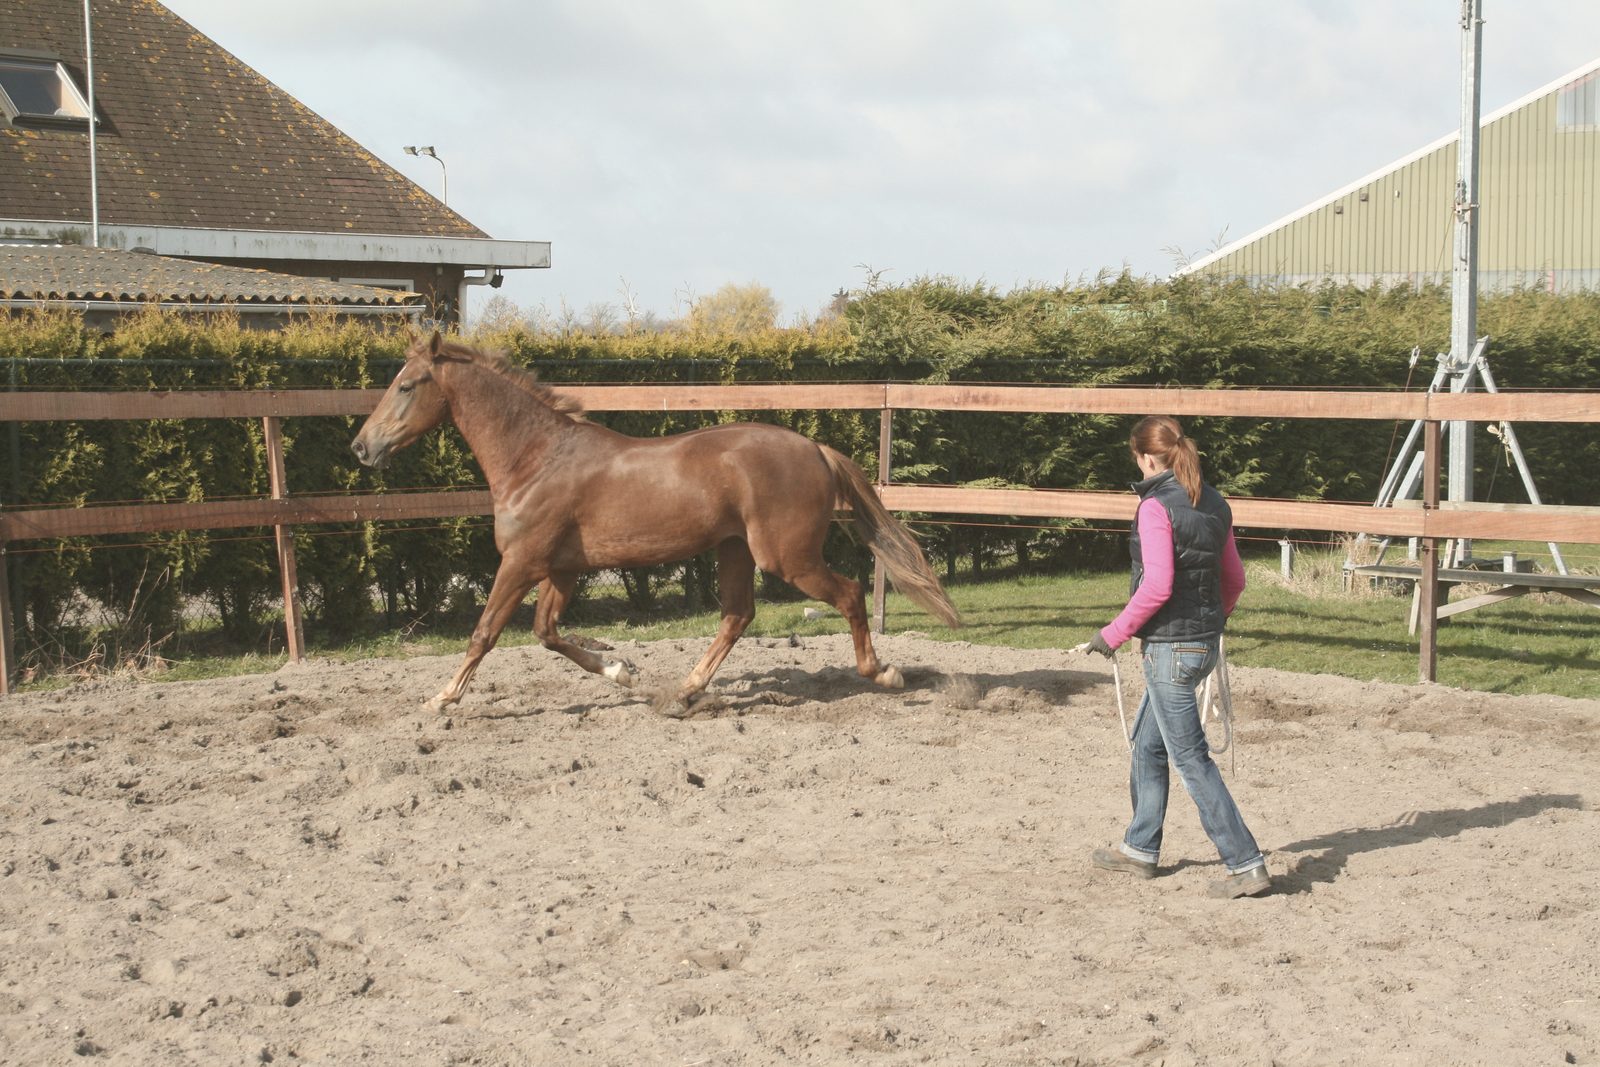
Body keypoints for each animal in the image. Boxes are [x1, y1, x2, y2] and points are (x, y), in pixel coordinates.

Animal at [351, 332, 960, 713]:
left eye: (406, 385)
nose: (361, 447)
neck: (536, 458)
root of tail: (815, 448)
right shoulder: (561, 569)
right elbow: (547, 634)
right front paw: (624, 672)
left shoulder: (521, 563)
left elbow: (484, 634)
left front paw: (441, 699)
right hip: (735, 549)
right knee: (737, 616)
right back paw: (684, 692)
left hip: (786, 557)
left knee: (850, 593)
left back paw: (883, 672)